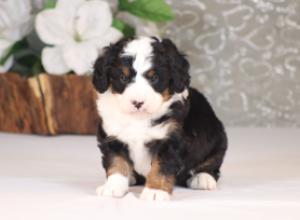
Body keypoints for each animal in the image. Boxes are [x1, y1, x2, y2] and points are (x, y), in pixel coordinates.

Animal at [92, 36, 226, 201]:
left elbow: (161, 166)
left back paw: (202, 178)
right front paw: (112, 187)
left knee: (212, 165)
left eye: (154, 78)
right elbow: (117, 162)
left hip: (217, 140)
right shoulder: (113, 136)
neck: (139, 119)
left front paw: (155, 191)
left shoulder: (170, 139)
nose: (138, 102)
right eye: (123, 78)